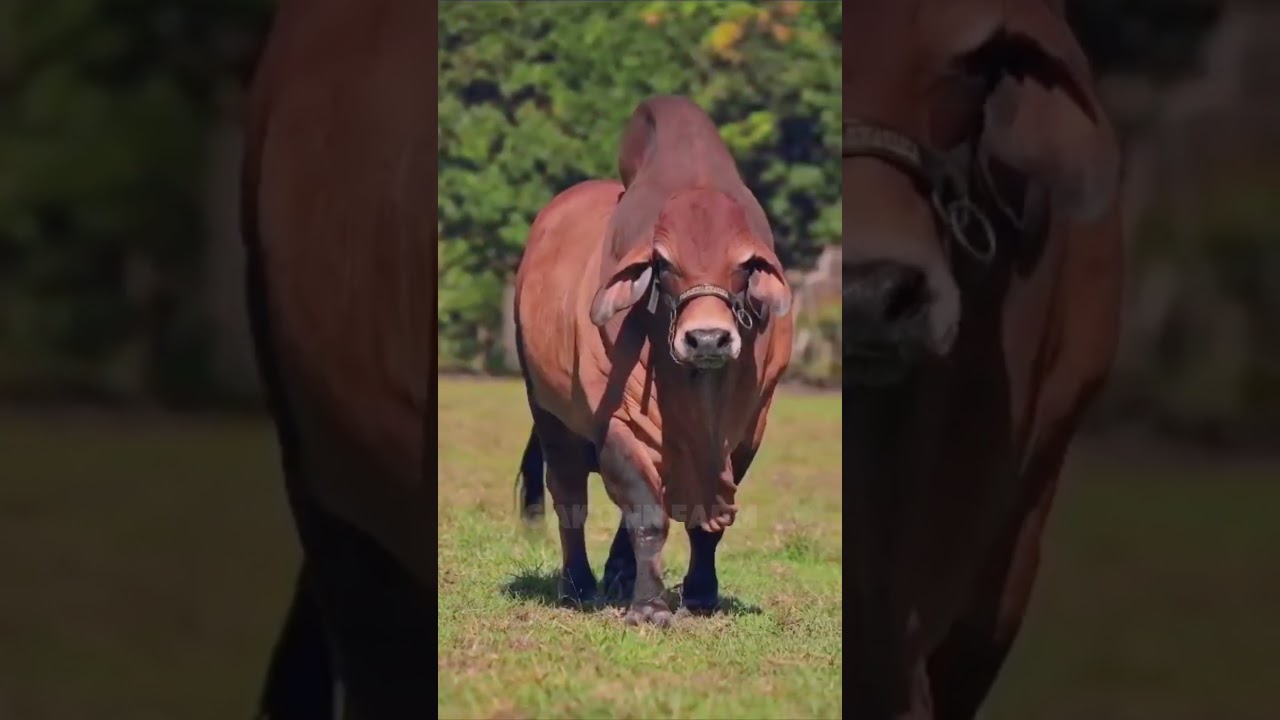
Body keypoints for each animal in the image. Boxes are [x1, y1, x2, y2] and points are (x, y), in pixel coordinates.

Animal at [513, 95, 794, 627]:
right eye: (662, 264)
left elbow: (704, 526)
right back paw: (578, 585)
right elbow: (645, 515)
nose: (707, 338)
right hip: (548, 411)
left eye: (745, 265)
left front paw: (700, 594)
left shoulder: (749, 430)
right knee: (570, 497)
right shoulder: (616, 422)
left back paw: (618, 575)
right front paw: (648, 608)